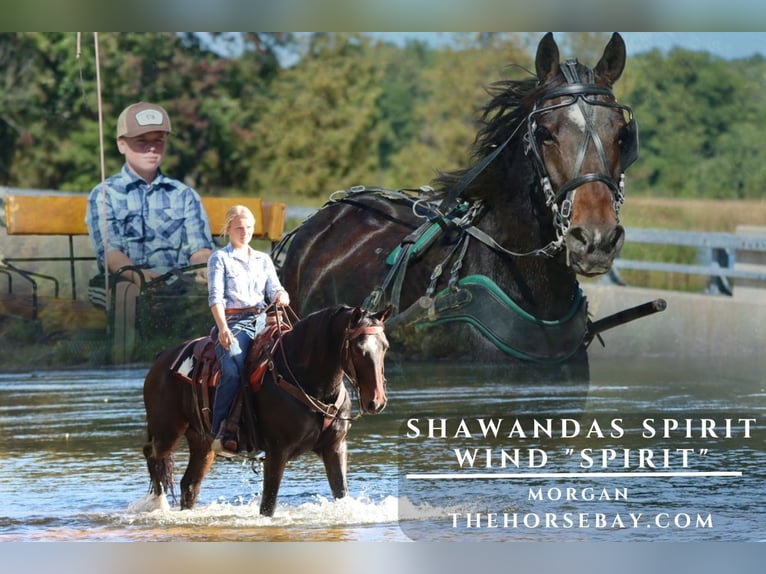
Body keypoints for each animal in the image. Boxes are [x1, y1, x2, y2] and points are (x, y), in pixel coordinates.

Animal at [141, 304, 392, 516]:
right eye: (358, 349)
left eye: (385, 346)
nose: (376, 401)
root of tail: (161, 359)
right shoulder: (277, 452)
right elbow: (268, 506)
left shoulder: (335, 447)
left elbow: (341, 493)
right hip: (168, 431)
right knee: (151, 454)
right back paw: (158, 503)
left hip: (202, 442)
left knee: (189, 484)